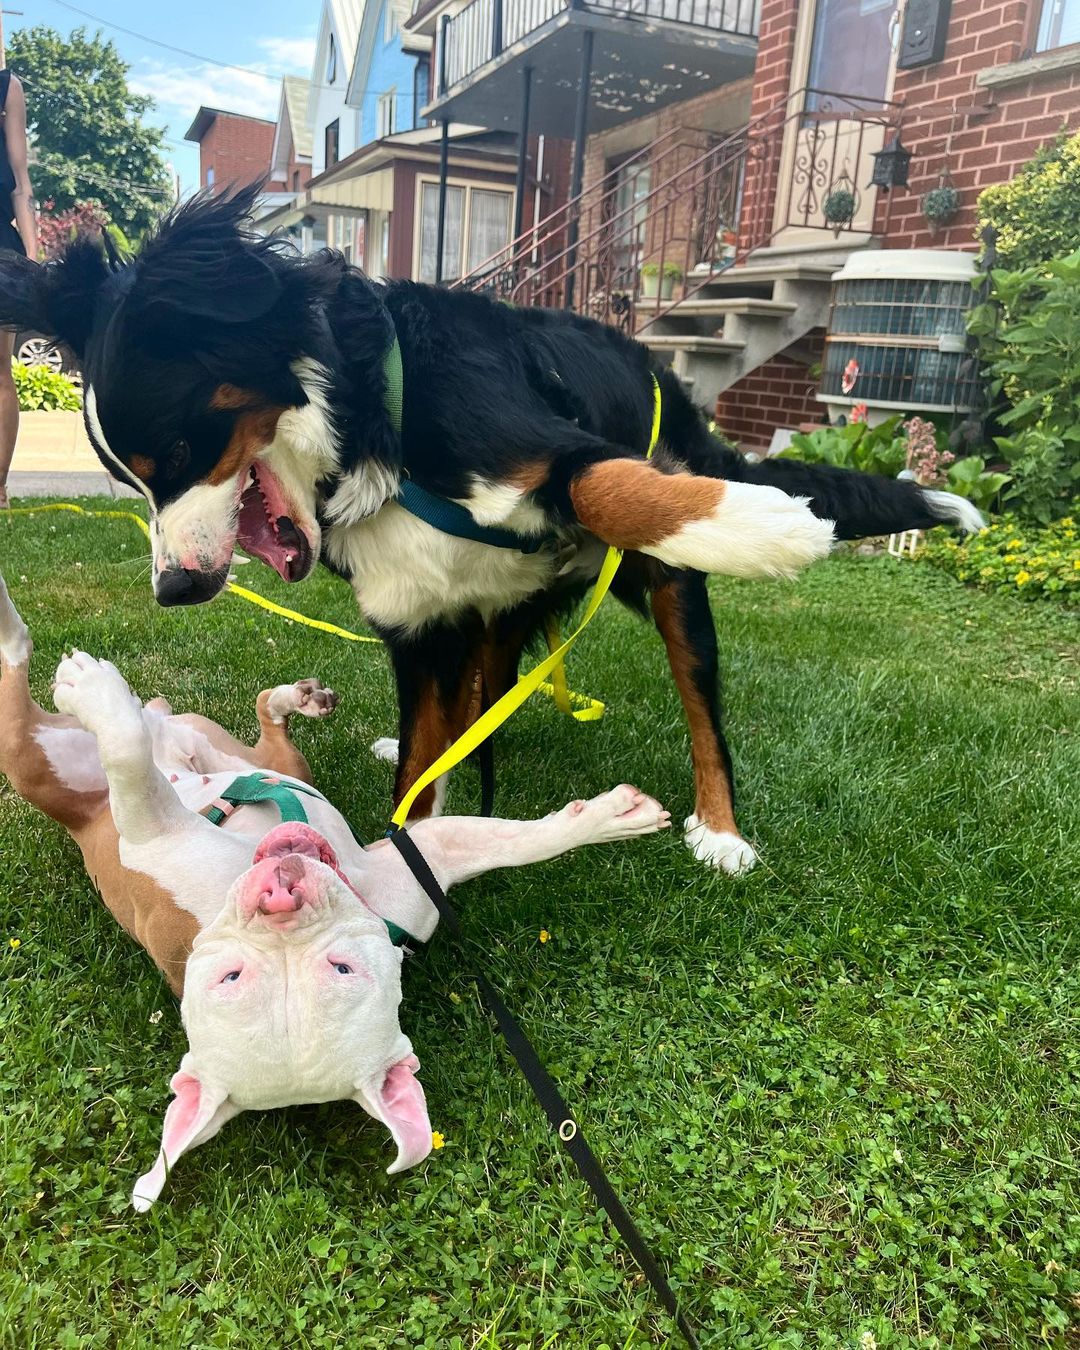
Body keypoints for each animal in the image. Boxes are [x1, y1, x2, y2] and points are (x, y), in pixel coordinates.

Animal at [0, 184, 982, 869]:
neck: (376, 431)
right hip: (491, 609)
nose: (176, 588)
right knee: (487, 689)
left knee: (701, 708)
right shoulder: (418, 628)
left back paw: (721, 828)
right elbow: (421, 775)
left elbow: (609, 485)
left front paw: (765, 524)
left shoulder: (554, 453)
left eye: (174, 449)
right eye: (127, 475)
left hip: (657, 589)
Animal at [0, 569, 669, 1215]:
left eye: (342, 969)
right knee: (50, 685)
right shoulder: (150, 836)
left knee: (235, 720)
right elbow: (131, 760)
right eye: (230, 979)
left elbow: (514, 842)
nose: (281, 894)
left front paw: (610, 819)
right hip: (46, 762)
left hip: (196, 759)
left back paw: (284, 699)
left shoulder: (421, 861)